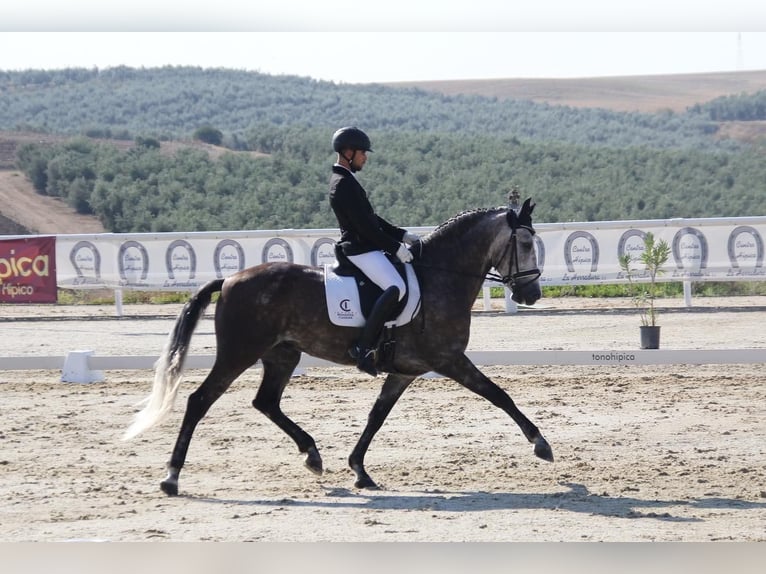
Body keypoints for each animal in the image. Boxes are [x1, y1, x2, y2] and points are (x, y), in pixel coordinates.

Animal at [124, 198, 552, 496]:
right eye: (525, 242)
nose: (531, 294)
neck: (439, 278)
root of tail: (228, 279)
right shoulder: (449, 359)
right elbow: (497, 394)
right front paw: (541, 444)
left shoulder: (405, 371)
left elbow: (376, 416)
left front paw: (359, 470)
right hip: (239, 352)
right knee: (200, 400)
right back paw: (171, 477)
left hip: (283, 354)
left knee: (266, 402)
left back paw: (312, 455)